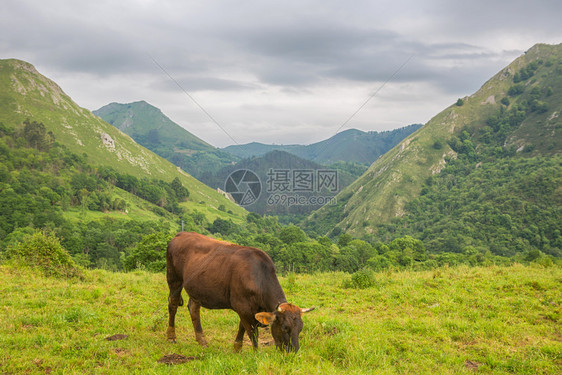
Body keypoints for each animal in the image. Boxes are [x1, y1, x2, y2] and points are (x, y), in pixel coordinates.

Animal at [166, 232, 312, 352]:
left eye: (300, 328)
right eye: (284, 328)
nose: (293, 352)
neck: (259, 277)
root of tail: (181, 234)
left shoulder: (248, 309)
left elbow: (242, 327)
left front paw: (237, 348)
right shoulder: (243, 307)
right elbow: (252, 332)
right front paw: (256, 354)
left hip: (196, 289)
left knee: (193, 309)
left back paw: (202, 341)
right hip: (174, 279)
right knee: (173, 305)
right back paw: (171, 337)